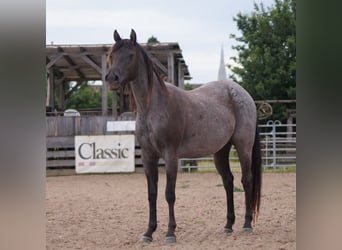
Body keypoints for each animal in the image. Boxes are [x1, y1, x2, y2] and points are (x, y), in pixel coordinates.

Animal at [105, 28, 264, 242]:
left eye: (130, 55)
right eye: (112, 55)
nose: (111, 78)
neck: (153, 106)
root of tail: (244, 95)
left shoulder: (171, 156)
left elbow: (169, 194)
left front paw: (170, 232)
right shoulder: (148, 156)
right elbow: (152, 194)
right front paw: (149, 232)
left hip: (243, 146)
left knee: (246, 180)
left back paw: (247, 224)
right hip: (221, 151)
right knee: (228, 181)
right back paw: (228, 225)